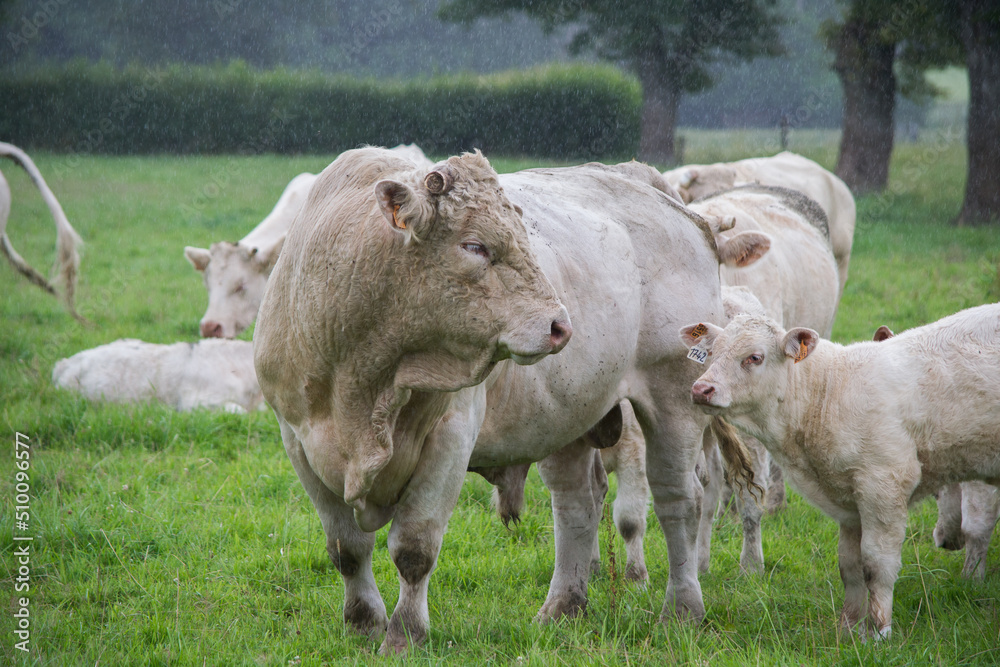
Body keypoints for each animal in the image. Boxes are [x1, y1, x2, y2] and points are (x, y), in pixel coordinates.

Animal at [253, 147, 770, 653]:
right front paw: (362, 625)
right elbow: (347, 548)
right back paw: (562, 607)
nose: (560, 325)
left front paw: (404, 635)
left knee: (679, 501)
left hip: (673, 404)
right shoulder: (298, 440)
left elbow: (414, 549)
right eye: (474, 245)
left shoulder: (450, 438)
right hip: (565, 416)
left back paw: (681, 609)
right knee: (576, 505)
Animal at [679, 302, 1000, 638]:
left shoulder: (884, 486)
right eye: (712, 353)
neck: (831, 392)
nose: (701, 389)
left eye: (754, 357)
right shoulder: (849, 504)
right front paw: (848, 629)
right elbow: (850, 566)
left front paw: (879, 630)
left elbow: (877, 565)